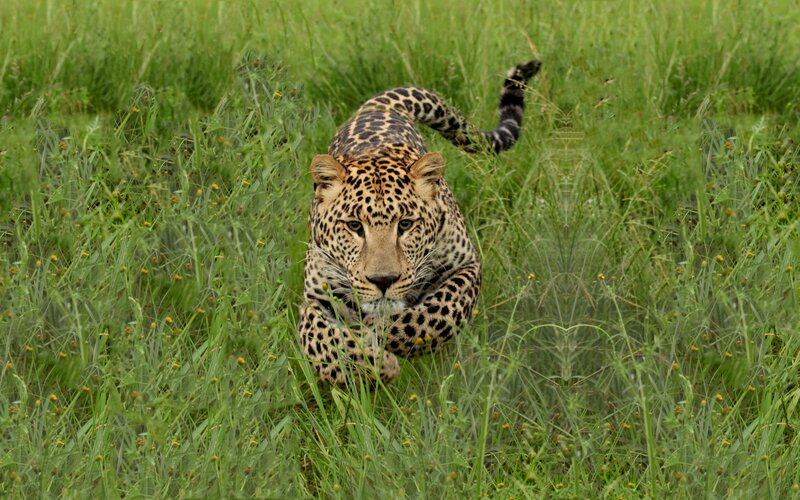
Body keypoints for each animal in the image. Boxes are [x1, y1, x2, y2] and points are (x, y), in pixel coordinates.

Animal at [298, 60, 541, 384]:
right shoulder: (315, 298)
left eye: (405, 225)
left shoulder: (467, 266)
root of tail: (376, 108)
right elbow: (319, 340)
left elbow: (433, 315)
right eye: (354, 226)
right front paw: (371, 364)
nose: (383, 280)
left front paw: (380, 335)